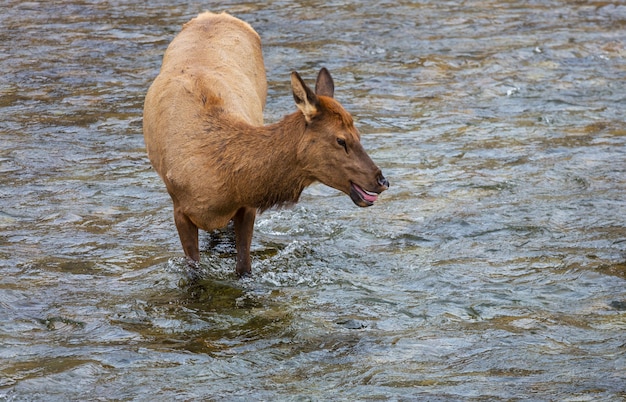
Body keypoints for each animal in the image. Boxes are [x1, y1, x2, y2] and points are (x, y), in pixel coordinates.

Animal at [144, 12, 388, 276]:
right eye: (341, 139)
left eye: (358, 134)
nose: (381, 180)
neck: (222, 183)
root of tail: (215, 15)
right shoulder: (180, 210)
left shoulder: (246, 206)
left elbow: (243, 267)